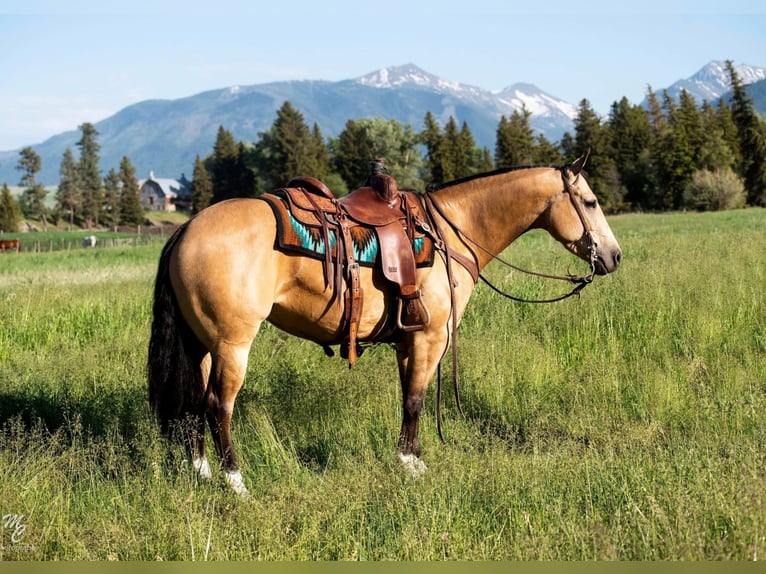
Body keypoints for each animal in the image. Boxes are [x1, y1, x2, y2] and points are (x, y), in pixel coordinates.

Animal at [148, 152, 624, 496]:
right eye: (590, 202)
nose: (614, 256)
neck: (449, 232)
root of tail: (187, 229)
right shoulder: (429, 338)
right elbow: (415, 399)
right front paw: (411, 464)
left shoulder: (406, 340)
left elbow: (406, 398)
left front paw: (407, 456)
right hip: (232, 345)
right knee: (217, 406)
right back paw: (235, 483)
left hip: (202, 345)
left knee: (193, 405)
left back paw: (202, 472)